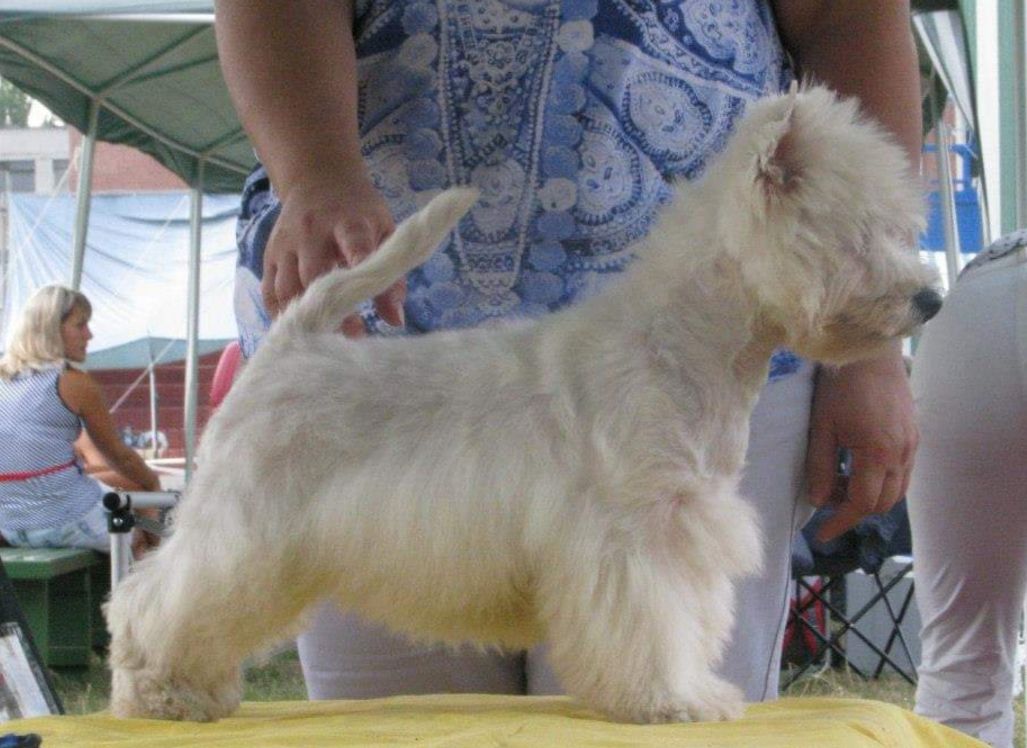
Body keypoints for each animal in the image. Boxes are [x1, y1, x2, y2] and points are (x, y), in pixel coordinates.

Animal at [104, 86, 940, 723]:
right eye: (861, 230)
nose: (929, 300)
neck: (683, 344)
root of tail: (291, 343)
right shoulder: (633, 533)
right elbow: (651, 619)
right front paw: (670, 699)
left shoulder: (685, 524)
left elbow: (686, 616)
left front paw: (692, 690)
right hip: (248, 525)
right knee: (159, 598)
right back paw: (160, 690)